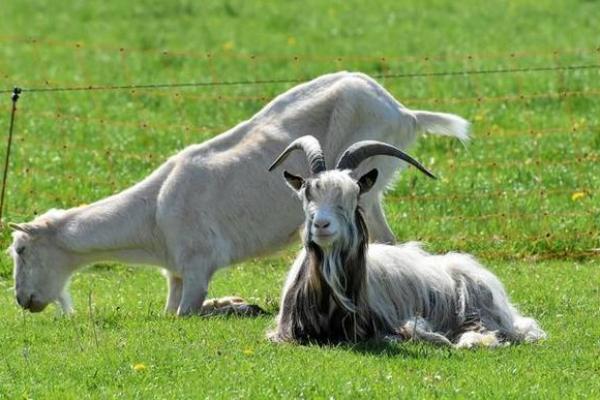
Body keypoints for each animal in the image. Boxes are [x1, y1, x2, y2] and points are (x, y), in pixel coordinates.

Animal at [7, 71, 472, 316]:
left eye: (21, 251)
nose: (22, 300)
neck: (154, 213)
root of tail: (404, 112)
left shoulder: (198, 266)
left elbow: (187, 314)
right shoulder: (177, 273)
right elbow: (170, 312)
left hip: (366, 186)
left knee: (386, 241)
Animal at [270, 135, 548, 346]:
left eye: (353, 195)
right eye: (306, 194)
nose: (321, 225)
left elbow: (405, 331)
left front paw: (435, 338)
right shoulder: (284, 334)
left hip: (476, 305)